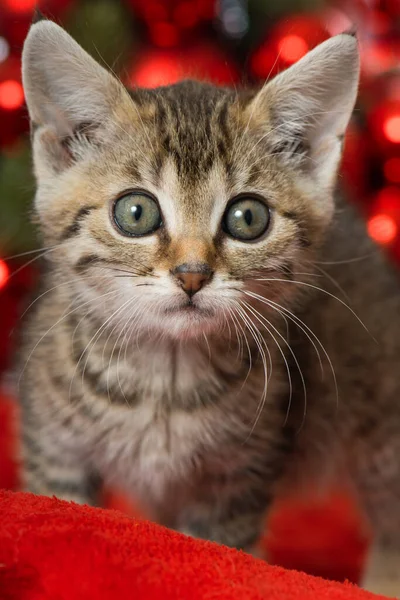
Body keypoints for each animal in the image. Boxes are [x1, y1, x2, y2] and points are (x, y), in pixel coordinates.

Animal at [18, 17, 400, 596]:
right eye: (136, 212)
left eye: (248, 218)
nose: (192, 274)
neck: (163, 379)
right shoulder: (53, 451)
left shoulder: (239, 481)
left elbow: (220, 553)